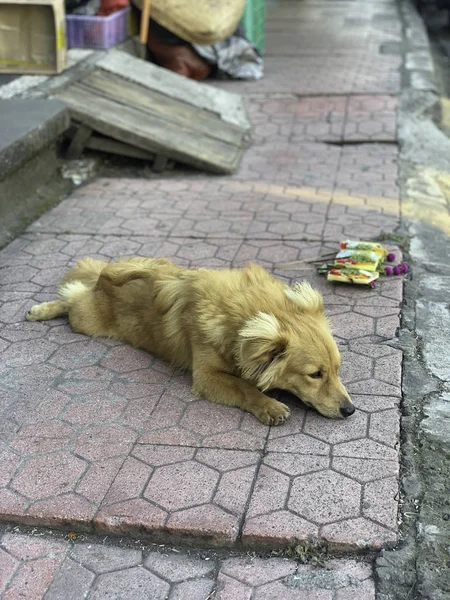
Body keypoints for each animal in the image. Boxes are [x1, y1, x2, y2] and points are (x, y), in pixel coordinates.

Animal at [25, 256, 356, 422]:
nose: (350, 410)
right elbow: (243, 387)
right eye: (315, 374)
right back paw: (41, 310)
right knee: (71, 299)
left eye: (337, 370)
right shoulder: (206, 376)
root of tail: (102, 283)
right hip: (87, 319)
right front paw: (268, 405)